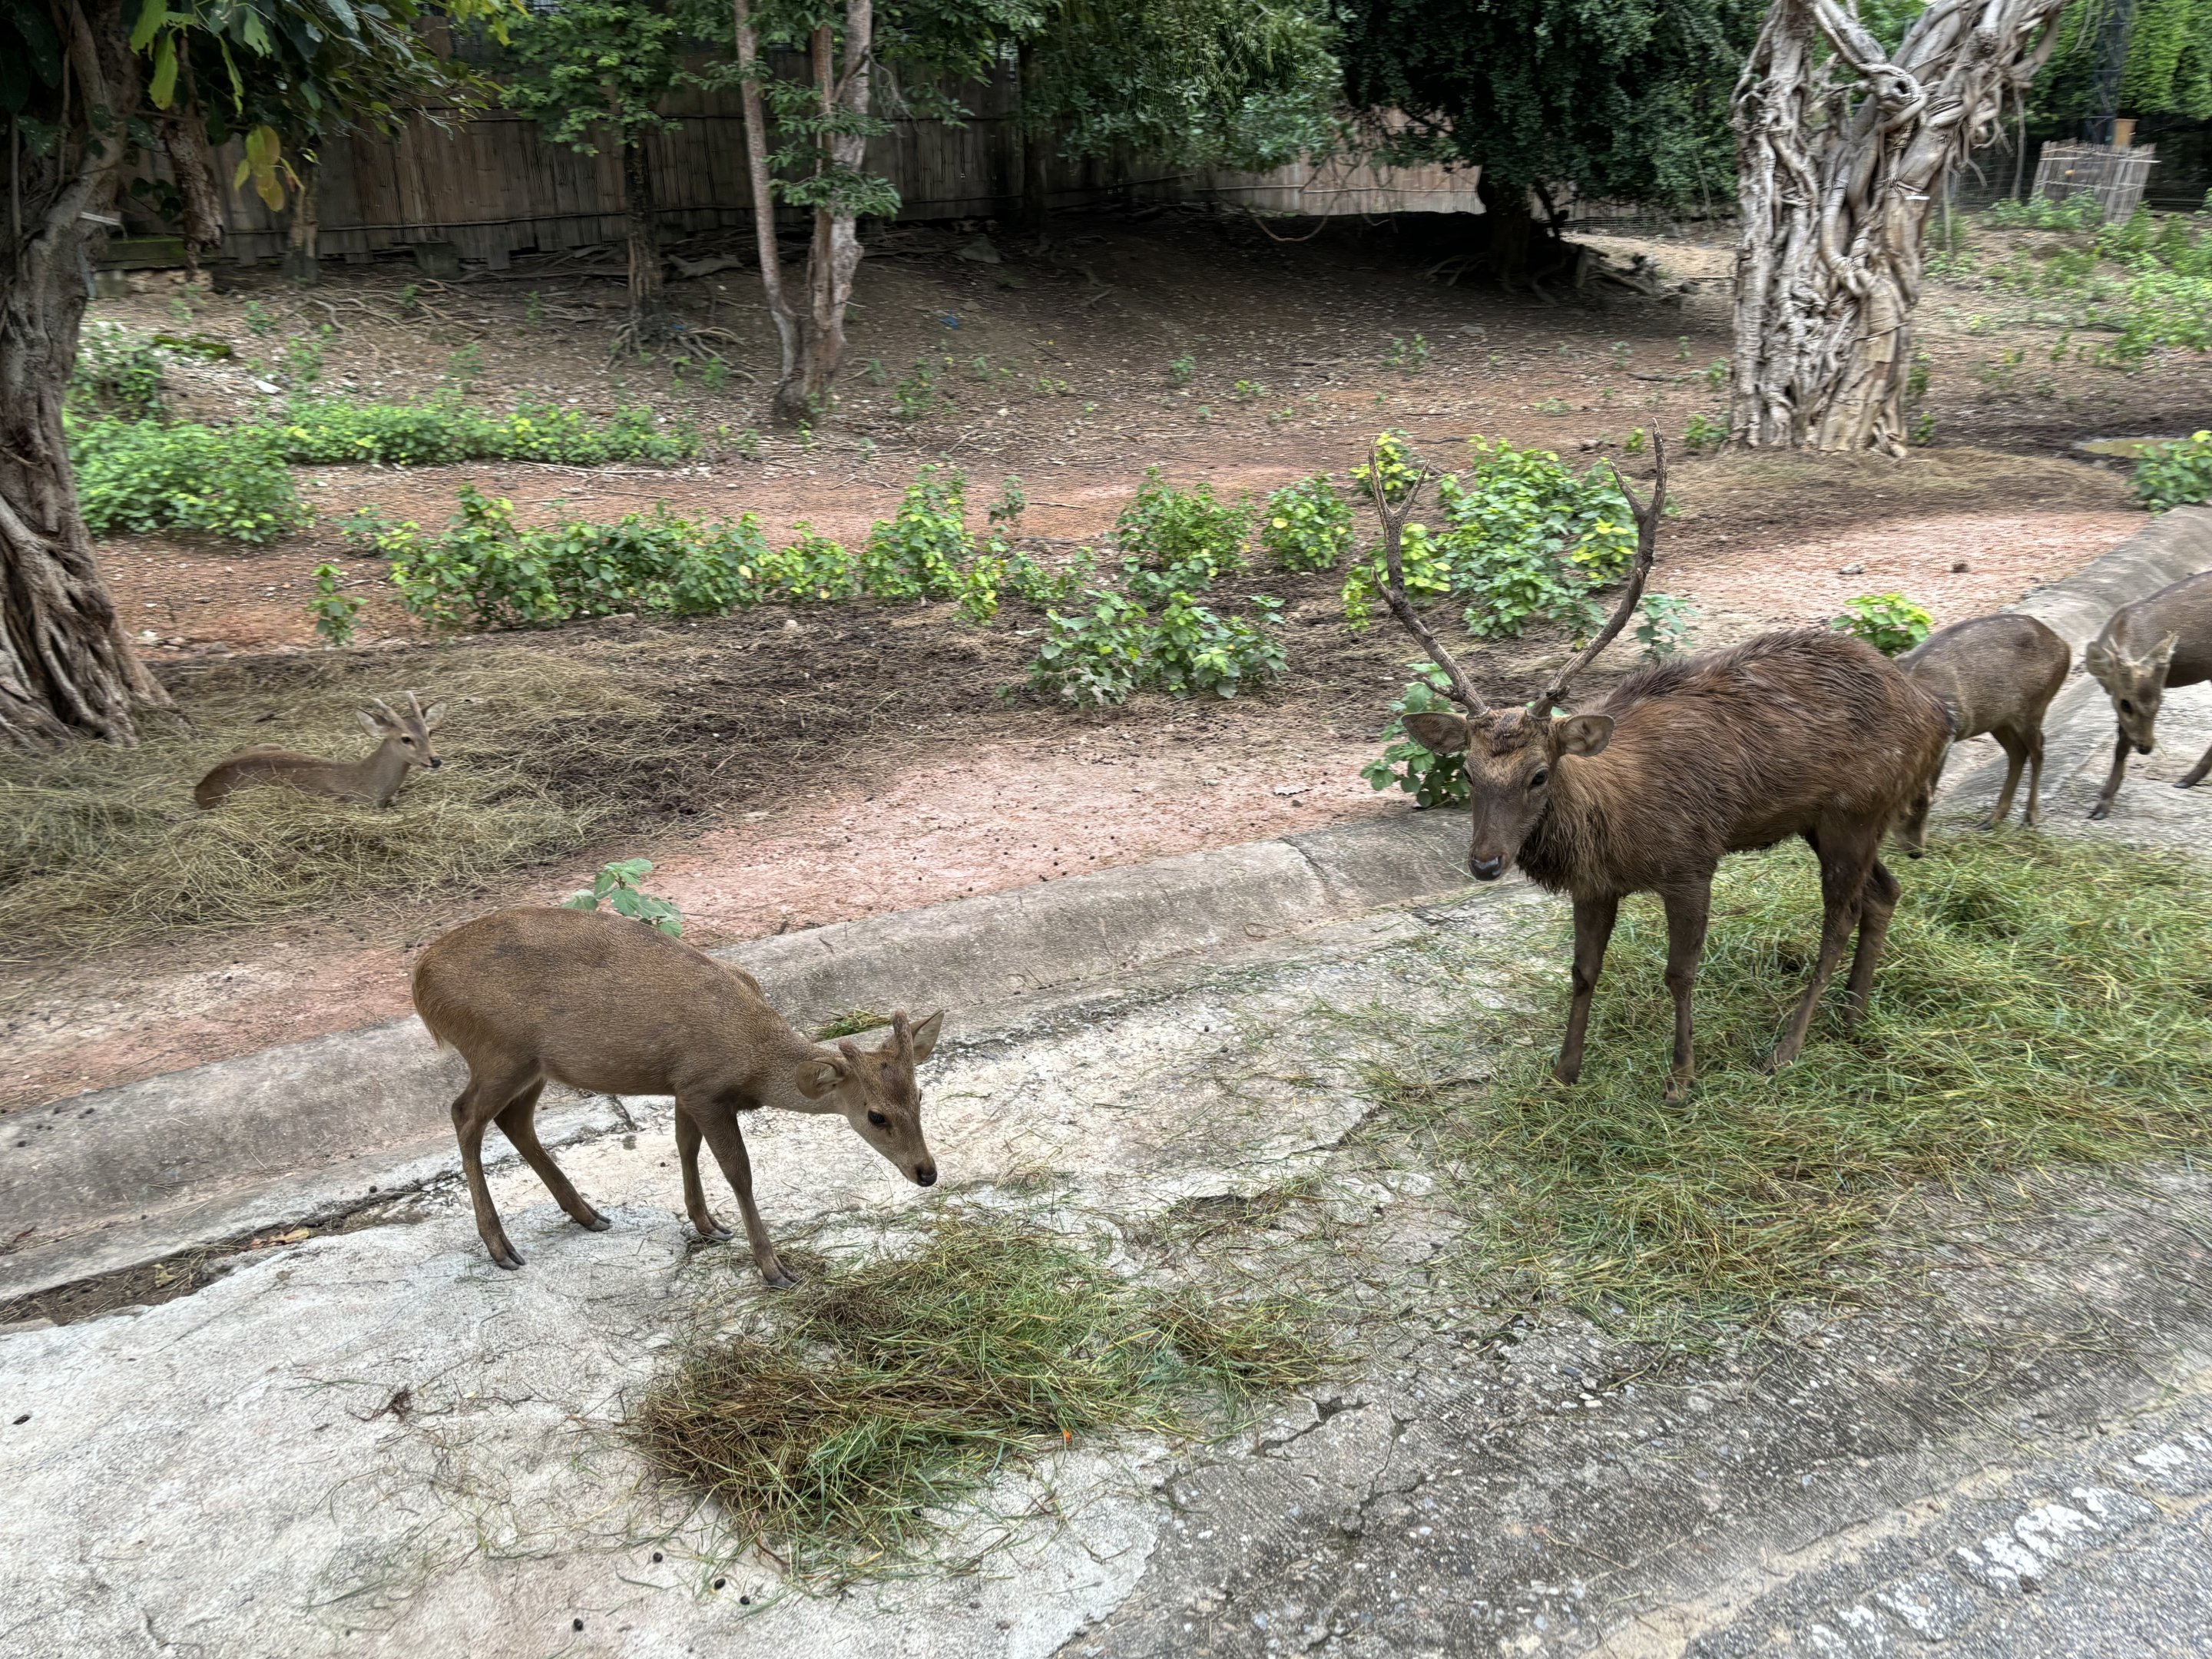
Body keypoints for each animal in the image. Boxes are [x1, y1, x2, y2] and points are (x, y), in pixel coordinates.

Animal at [194, 692, 445, 809]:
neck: (365, 784)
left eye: (430, 732)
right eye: (406, 738)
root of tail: (200, 788)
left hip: (269, 745)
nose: (435, 760)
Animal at [412, 903, 944, 1280]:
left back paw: (588, 1215)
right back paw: (501, 1246)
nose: (927, 1173)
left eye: (920, 1097)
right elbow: (739, 1172)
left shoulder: (684, 1087)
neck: (752, 1059)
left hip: (533, 1065)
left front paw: (707, 1223)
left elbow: (685, 1146)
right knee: (464, 1115)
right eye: (876, 1115)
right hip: (498, 1050)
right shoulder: (704, 1086)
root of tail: (421, 982)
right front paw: (774, 1267)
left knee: (513, 1120)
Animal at [1373, 438, 1949, 1098]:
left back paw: (1787, 1048)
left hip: (1855, 810)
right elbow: (1582, 971)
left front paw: (1681, 1078)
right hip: (1837, 818)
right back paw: (1854, 1013)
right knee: (1885, 891)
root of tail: (1935, 713)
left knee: (1841, 917)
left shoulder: (1692, 863)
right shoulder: (1595, 886)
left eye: (1540, 774)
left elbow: (1681, 973)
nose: (1486, 863)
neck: (1613, 832)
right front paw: (1564, 1072)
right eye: (1468, 773)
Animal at [1892, 613, 2072, 854]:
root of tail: (2064, 644)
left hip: (2034, 706)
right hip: (1998, 720)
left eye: (1929, 803)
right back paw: (1991, 820)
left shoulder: (1946, 736)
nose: (1915, 851)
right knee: (2018, 752)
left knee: (2038, 750)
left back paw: (2029, 819)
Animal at [2081, 569, 2212, 821]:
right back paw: (2187, 780)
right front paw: (2102, 804)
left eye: (2161, 701)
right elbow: (2121, 745)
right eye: (2126, 704)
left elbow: (2122, 744)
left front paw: (2102, 805)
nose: (2146, 747)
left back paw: (2186, 779)